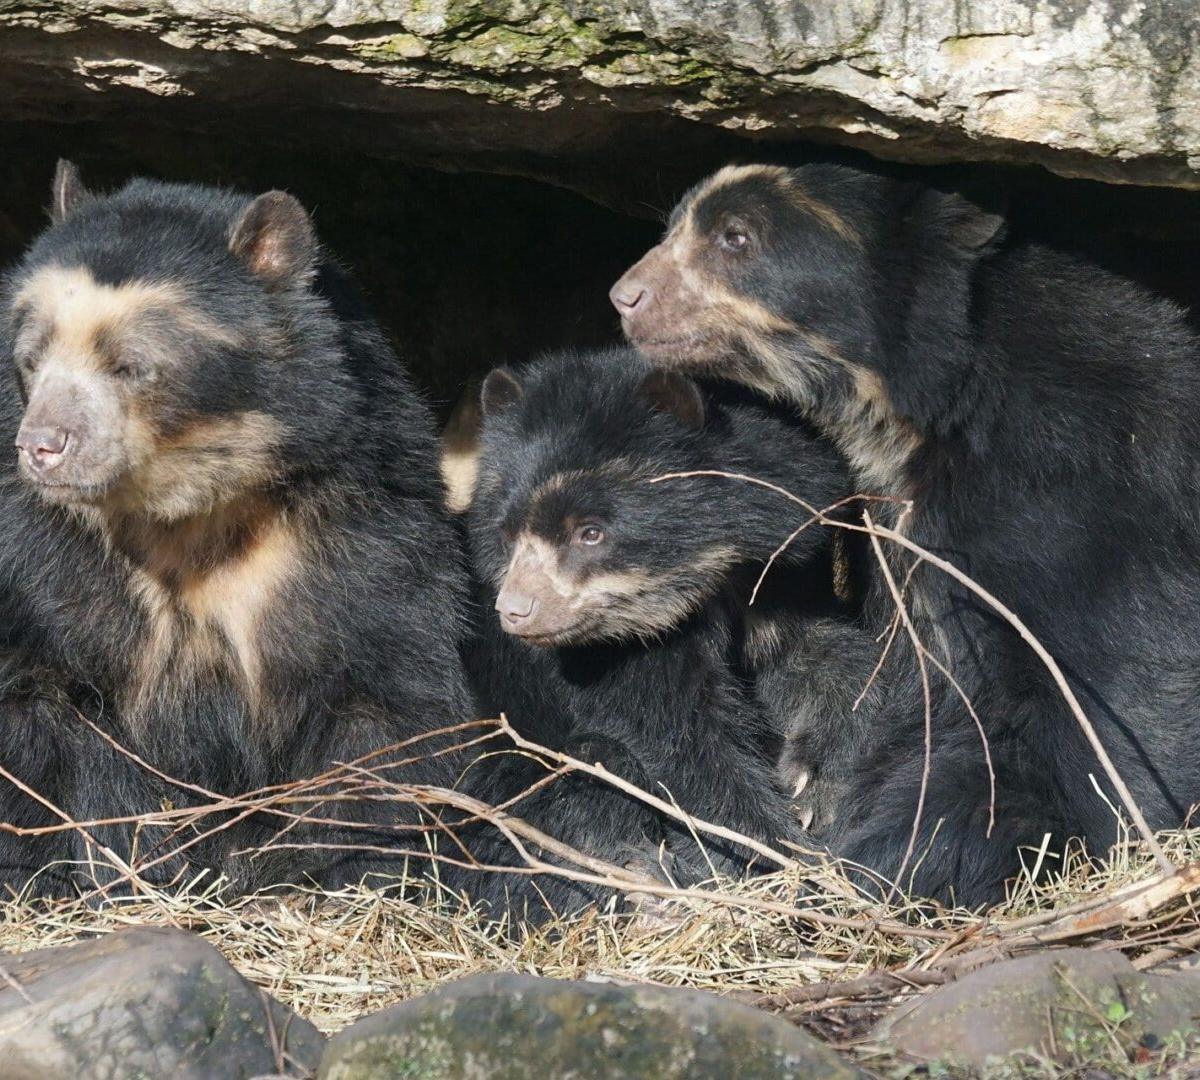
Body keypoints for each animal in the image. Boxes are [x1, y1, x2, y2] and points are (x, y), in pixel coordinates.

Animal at [0, 161, 479, 897]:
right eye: (31, 357)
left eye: (131, 365)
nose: (43, 446)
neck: (187, 506)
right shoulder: (37, 551)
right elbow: (40, 705)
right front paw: (124, 856)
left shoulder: (359, 528)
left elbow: (380, 698)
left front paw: (324, 868)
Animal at [459, 345, 857, 915]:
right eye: (508, 533)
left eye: (590, 533)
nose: (515, 611)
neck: (703, 581)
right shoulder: (613, 659)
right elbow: (684, 749)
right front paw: (789, 865)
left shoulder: (780, 571)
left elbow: (827, 656)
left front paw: (811, 788)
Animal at [610, 161, 1200, 907]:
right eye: (671, 227)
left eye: (736, 237)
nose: (625, 297)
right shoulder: (896, 526)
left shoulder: (1071, 496)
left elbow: (1110, 680)